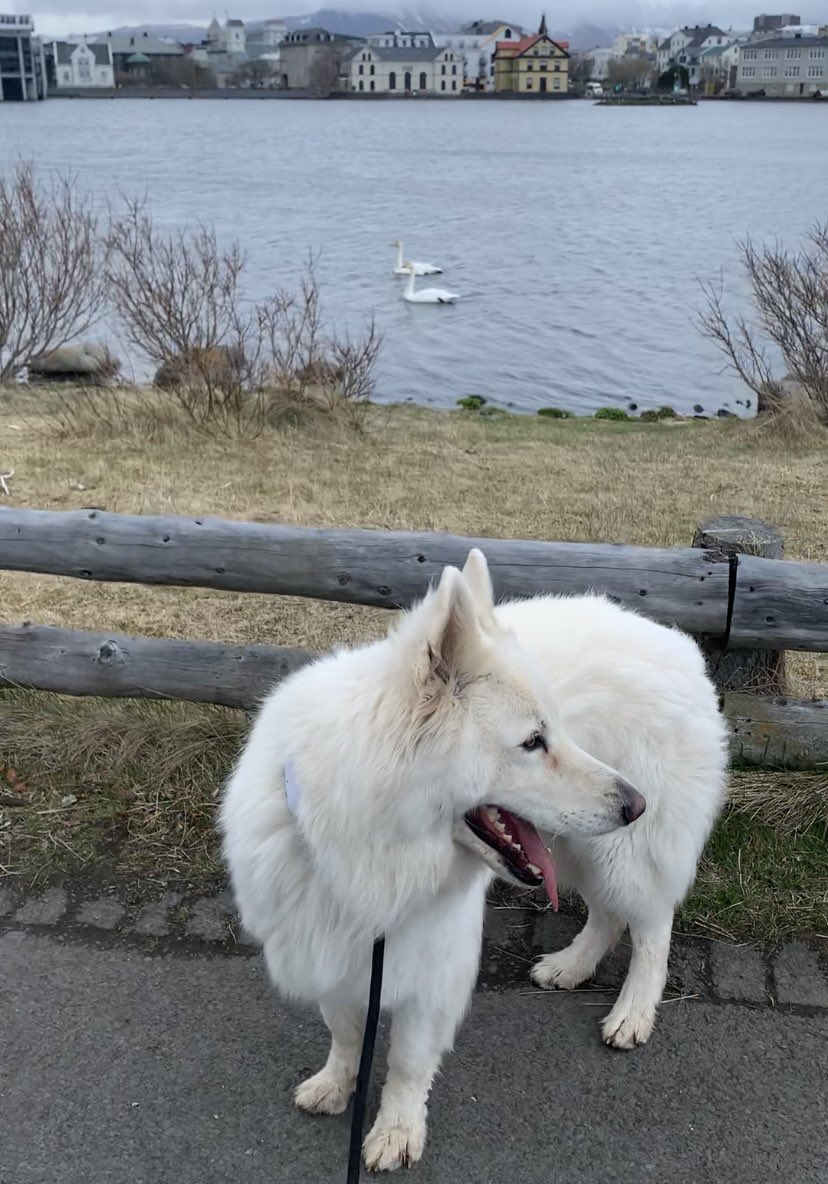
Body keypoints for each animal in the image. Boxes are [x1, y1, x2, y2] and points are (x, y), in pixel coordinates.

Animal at [223, 549, 729, 1169]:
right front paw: (337, 1085)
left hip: (621, 856)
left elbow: (407, 1063)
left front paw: (397, 1130)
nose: (637, 804)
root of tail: (680, 644)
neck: (366, 838)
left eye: (553, 732)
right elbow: (345, 1033)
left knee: (652, 929)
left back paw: (633, 1012)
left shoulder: (431, 966)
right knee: (608, 917)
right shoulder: (328, 948)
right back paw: (572, 965)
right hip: (575, 846)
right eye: (533, 741)